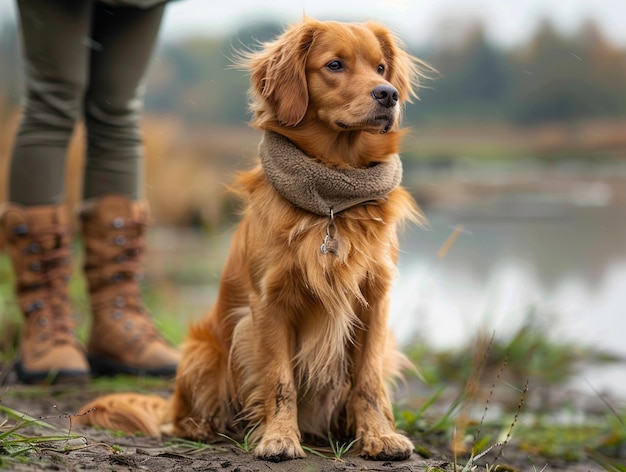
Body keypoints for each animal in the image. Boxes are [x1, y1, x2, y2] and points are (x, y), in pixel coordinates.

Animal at [77, 17, 428, 460]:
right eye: (334, 65)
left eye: (381, 68)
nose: (388, 94)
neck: (334, 197)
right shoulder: (269, 304)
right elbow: (279, 381)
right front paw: (279, 437)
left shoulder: (374, 301)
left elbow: (367, 382)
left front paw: (379, 436)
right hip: (201, 352)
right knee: (182, 416)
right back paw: (207, 428)